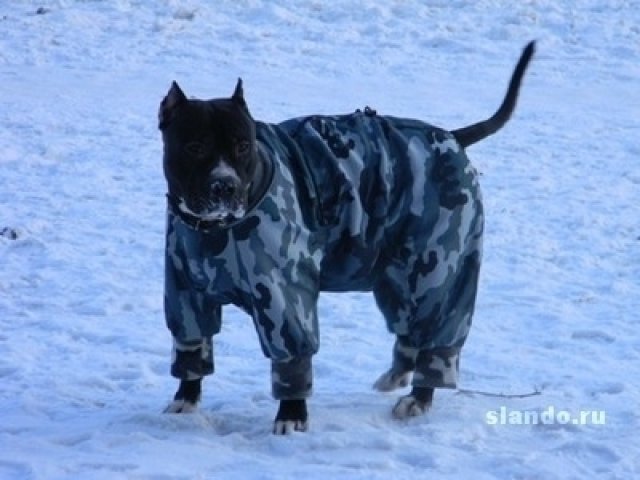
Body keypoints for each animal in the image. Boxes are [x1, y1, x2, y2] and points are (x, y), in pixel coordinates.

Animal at [160, 41, 536, 436]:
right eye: (194, 146)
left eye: (243, 146)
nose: (225, 185)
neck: (218, 230)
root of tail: (451, 136)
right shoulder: (185, 297)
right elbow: (192, 346)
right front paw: (185, 399)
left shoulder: (286, 301)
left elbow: (293, 358)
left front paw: (291, 416)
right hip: (395, 274)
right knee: (409, 328)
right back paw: (395, 377)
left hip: (444, 269)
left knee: (437, 332)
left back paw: (418, 398)